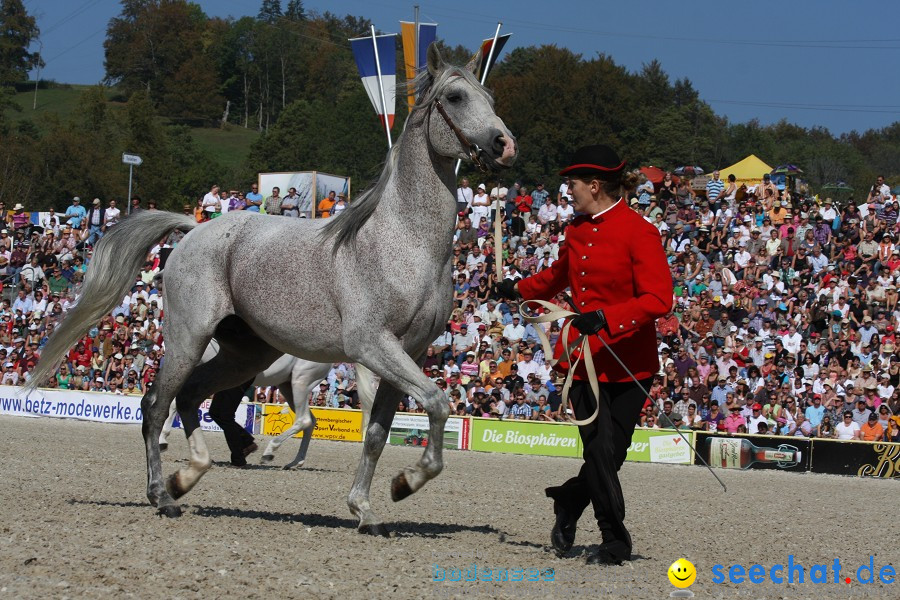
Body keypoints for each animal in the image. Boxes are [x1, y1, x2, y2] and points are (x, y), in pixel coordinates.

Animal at [28, 45, 516, 536]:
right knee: (156, 406)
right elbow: (436, 403)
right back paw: (163, 495)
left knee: (192, 398)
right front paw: (407, 481)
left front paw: (366, 508)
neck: (404, 244)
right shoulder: (373, 346)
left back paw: (190, 475)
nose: (505, 145)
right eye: (455, 97)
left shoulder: (408, 353)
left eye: (492, 96)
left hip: (245, 354)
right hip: (189, 339)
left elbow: (379, 433)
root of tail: (193, 230)